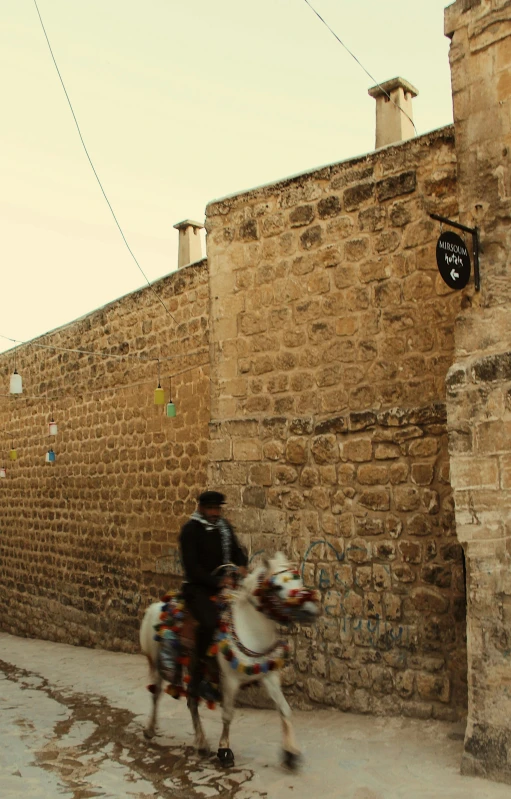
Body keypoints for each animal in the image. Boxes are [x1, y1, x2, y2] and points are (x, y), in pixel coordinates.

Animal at [138, 552, 318, 772]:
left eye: (298, 579)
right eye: (276, 587)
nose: (310, 611)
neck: (249, 628)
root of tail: (156, 606)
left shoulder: (269, 675)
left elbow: (284, 709)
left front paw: (291, 754)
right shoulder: (230, 680)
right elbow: (228, 714)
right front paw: (224, 751)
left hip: (193, 667)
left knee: (192, 701)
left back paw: (201, 743)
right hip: (156, 664)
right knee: (156, 695)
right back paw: (150, 729)